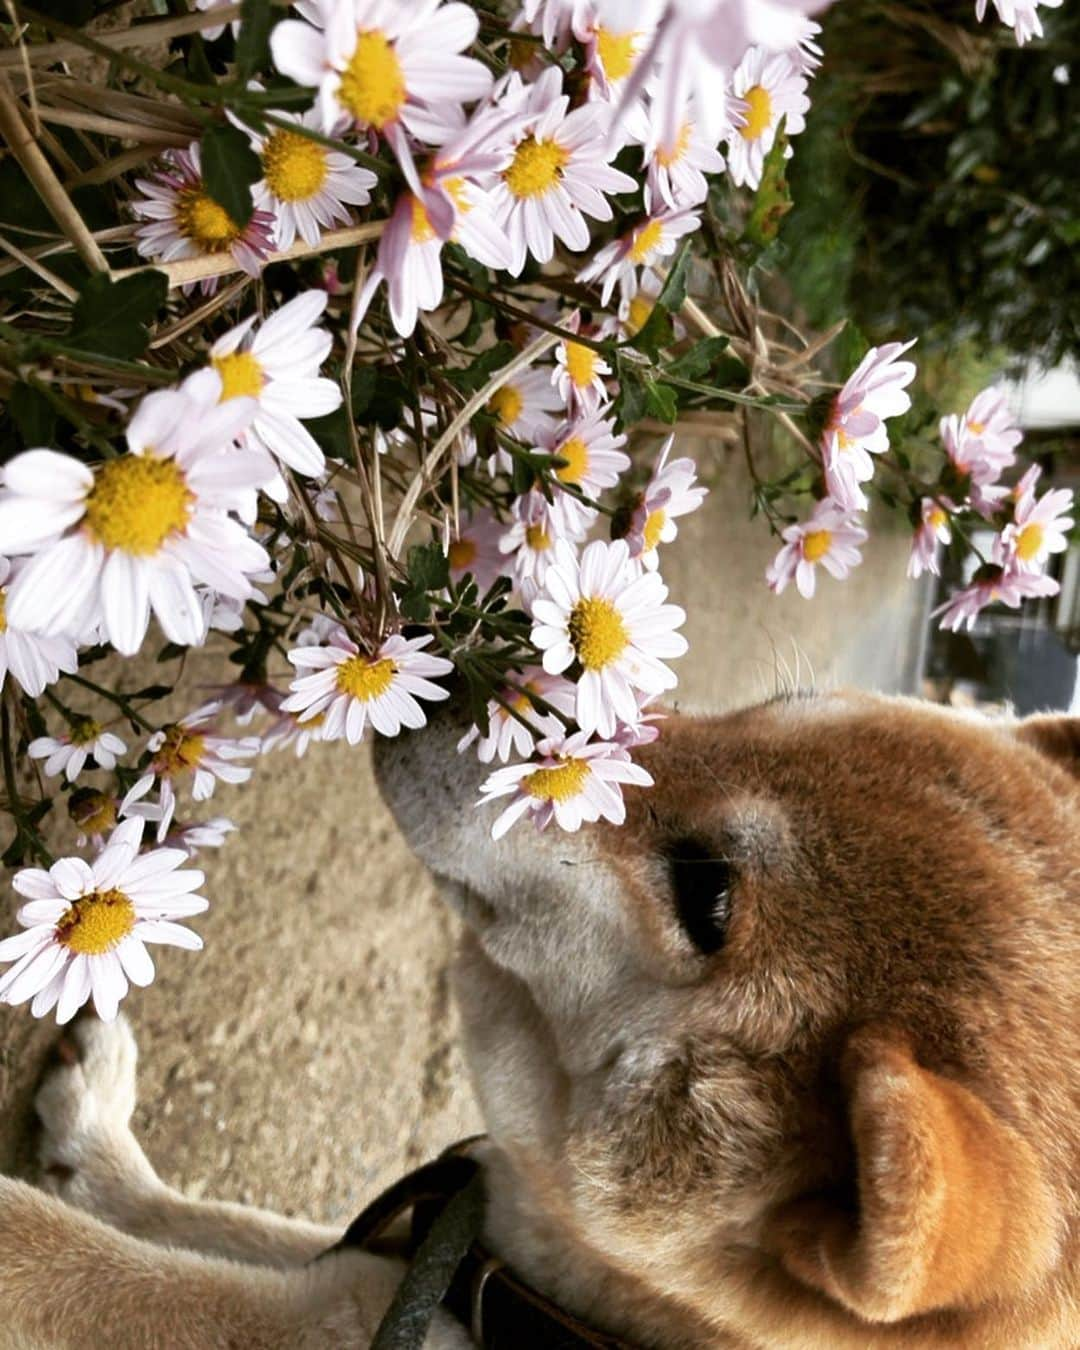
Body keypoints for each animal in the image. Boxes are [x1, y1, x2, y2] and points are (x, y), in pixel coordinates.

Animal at [0, 696, 1074, 1350]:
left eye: (707, 895)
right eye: (775, 709)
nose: (464, 658)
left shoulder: (338, 1314)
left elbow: (79, 1261)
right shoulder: (388, 1263)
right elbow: (188, 1218)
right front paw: (92, 1136)